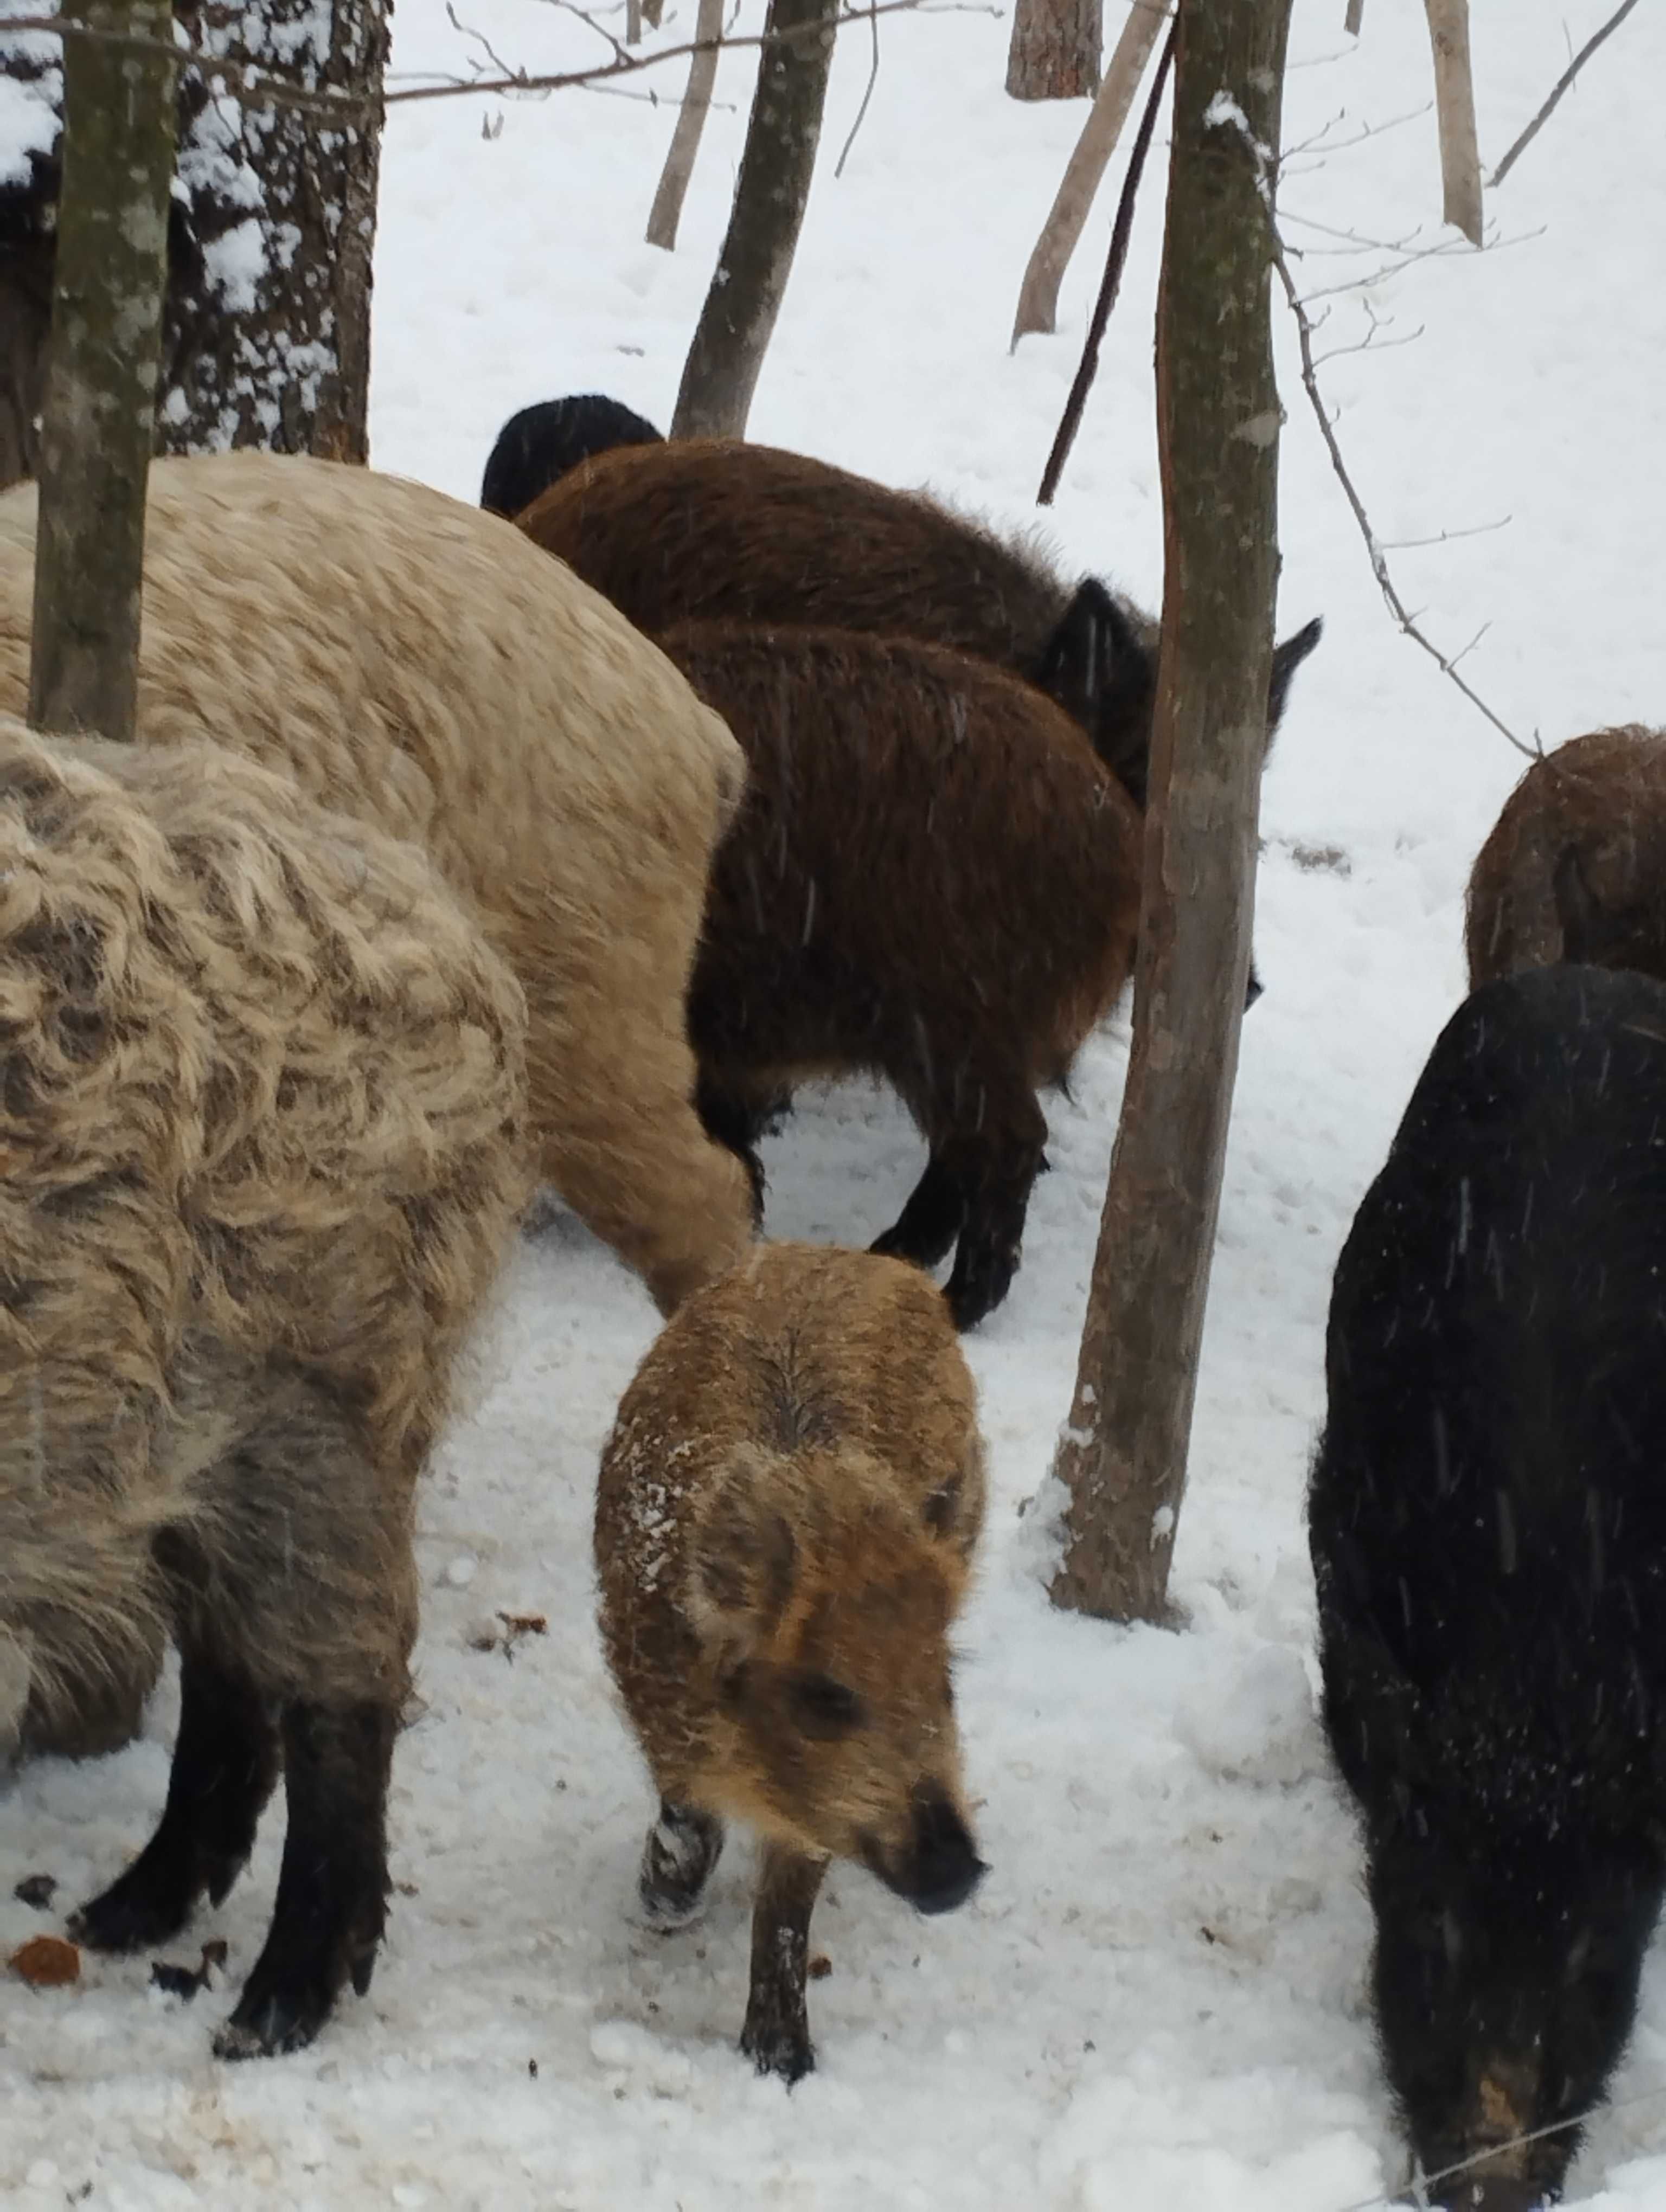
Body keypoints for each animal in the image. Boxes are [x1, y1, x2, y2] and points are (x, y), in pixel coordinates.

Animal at [593, 1238, 982, 2079]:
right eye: (827, 1695)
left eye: (945, 1685)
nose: (959, 1873)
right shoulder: (654, 1701)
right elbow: (689, 1817)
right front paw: (662, 1909)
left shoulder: (811, 1818)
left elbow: (787, 1905)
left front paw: (783, 2066)